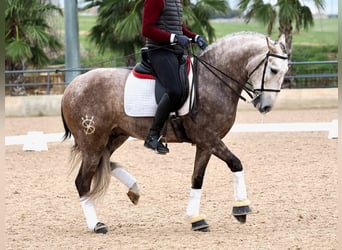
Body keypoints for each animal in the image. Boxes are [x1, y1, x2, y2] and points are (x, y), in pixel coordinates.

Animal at [60, 31, 288, 234]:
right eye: (274, 70)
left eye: (285, 71)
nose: (265, 106)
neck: (212, 81)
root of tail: (71, 87)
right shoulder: (209, 138)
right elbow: (235, 163)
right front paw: (242, 208)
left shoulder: (205, 144)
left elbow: (197, 178)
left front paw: (196, 219)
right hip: (93, 141)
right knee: (83, 182)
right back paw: (96, 225)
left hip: (115, 137)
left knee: (106, 163)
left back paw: (134, 190)